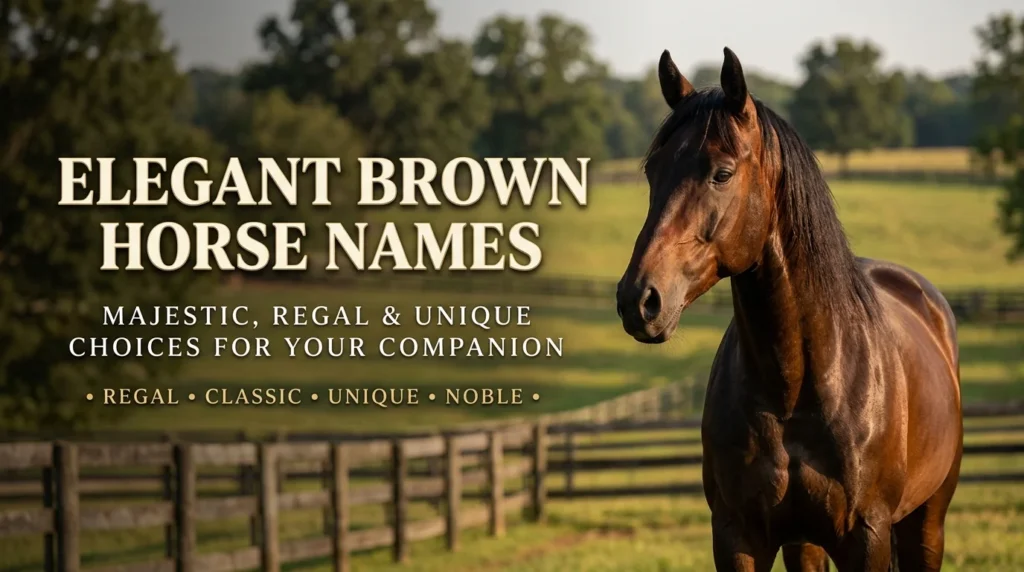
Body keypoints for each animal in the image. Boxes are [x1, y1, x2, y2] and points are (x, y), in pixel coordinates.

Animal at [615, 47, 963, 571]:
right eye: (653, 170)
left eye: (721, 173)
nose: (638, 299)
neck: (797, 387)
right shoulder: (737, 536)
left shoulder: (868, 537)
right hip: (807, 542)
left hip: (927, 523)